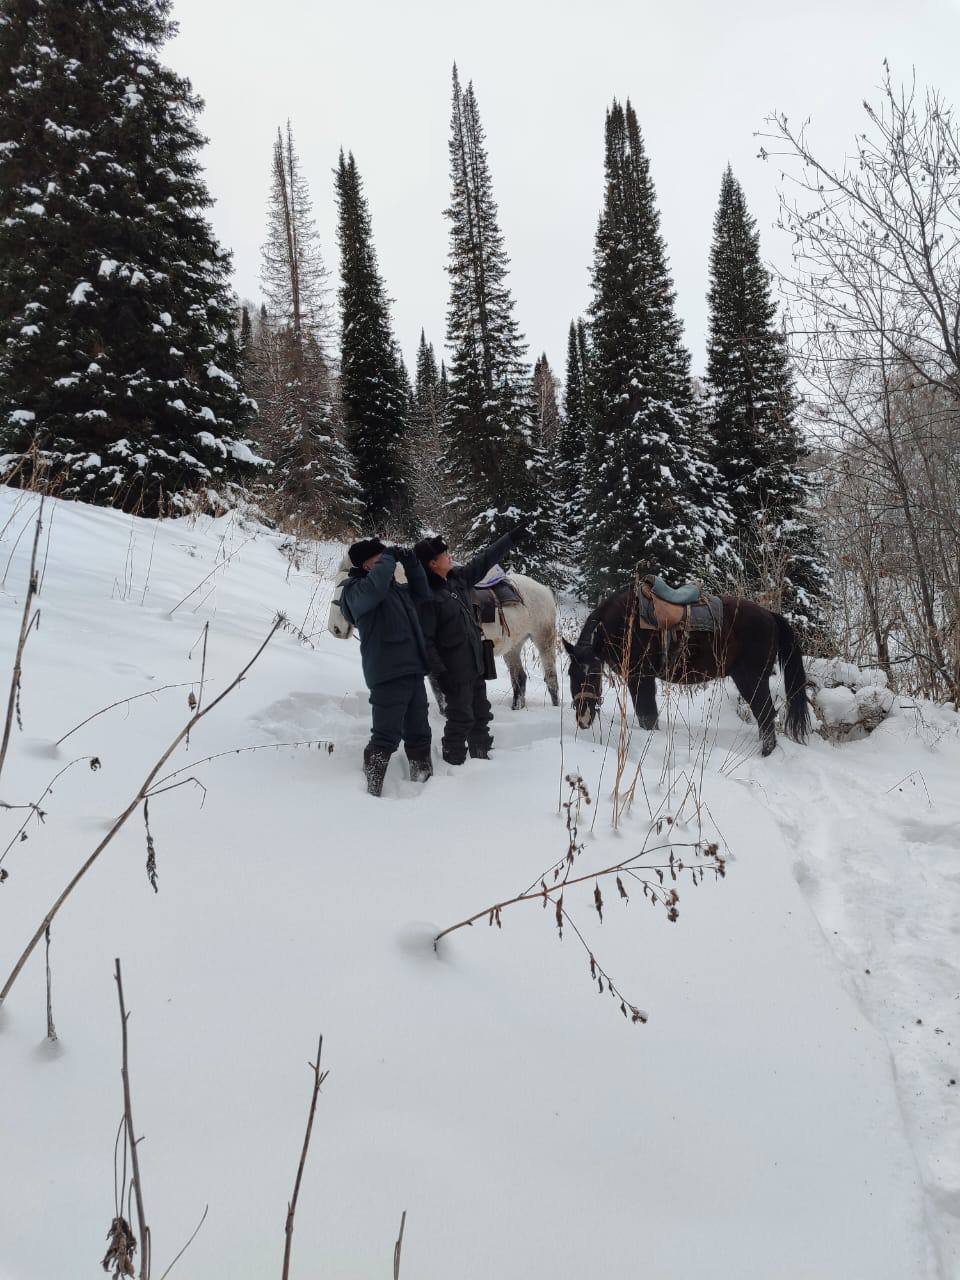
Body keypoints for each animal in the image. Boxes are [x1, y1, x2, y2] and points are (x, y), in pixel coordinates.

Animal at [327, 556, 560, 710]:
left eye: (347, 586)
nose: (334, 629)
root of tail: (545, 591)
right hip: (513, 646)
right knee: (519, 678)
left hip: (544, 639)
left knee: (551, 678)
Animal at [562, 580, 810, 756]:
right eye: (571, 674)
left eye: (595, 673)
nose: (583, 717)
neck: (625, 624)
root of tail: (770, 616)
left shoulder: (641, 677)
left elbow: (647, 716)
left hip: (751, 680)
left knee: (766, 715)